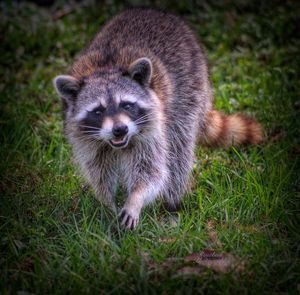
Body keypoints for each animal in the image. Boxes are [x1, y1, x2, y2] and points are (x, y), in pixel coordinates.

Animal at [53, 6, 262, 229]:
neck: (104, 69)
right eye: (98, 111)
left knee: (178, 149)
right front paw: (107, 204)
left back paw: (172, 202)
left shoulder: (152, 129)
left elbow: (153, 171)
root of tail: (154, 10)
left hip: (188, 88)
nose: (120, 129)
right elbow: (99, 173)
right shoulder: (86, 140)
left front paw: (135, 198)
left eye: (126, 105)